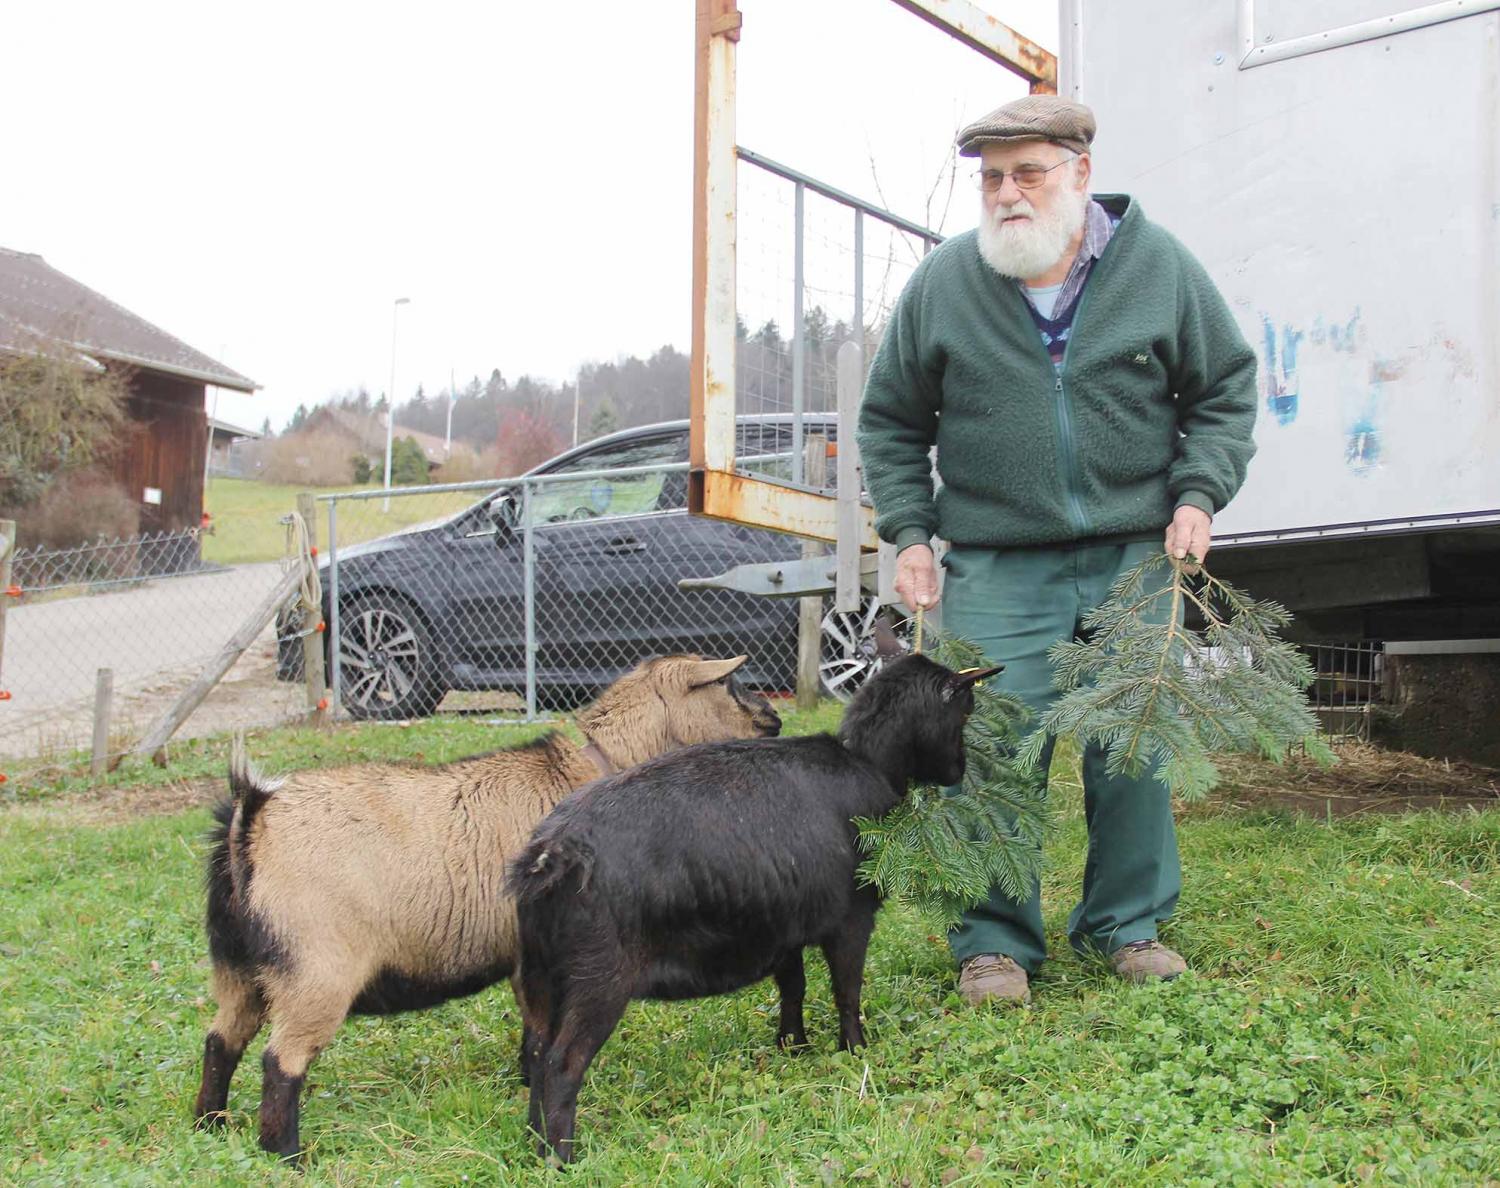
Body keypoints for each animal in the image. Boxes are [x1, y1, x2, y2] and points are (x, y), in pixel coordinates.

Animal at [193, 651, 780, 1158]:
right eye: (729, 683)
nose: (774, 719)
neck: (592, 770)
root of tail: (253, 816)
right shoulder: (532, 956)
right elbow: (542, 1038)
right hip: (315, 970)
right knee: (281, 1061)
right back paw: (287, 1155)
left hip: (239, 968)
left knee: (221, 1041)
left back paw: (211, 1126)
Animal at [510, 651, 1002, 1158]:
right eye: (965, 710)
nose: (960, 770)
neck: (865, 763)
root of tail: (551, 855)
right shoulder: (851, 919)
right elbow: (846, 992)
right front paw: (855, 1049)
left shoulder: (783, 926)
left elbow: (793, 988)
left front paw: (794, 1046)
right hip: (598, 978)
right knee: (562, 1063)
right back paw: (560, 1157)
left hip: (541, 978)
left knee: (537, 1055)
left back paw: (534, 1142)